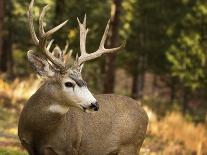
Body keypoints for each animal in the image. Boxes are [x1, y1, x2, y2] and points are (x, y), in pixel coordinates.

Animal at [18, 0, 149, 155]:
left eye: (84, 82)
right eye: (68, 83)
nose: (95, 104)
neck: (38, 133)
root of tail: (146, 115)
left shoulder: (70, 148)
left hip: (131, 146)